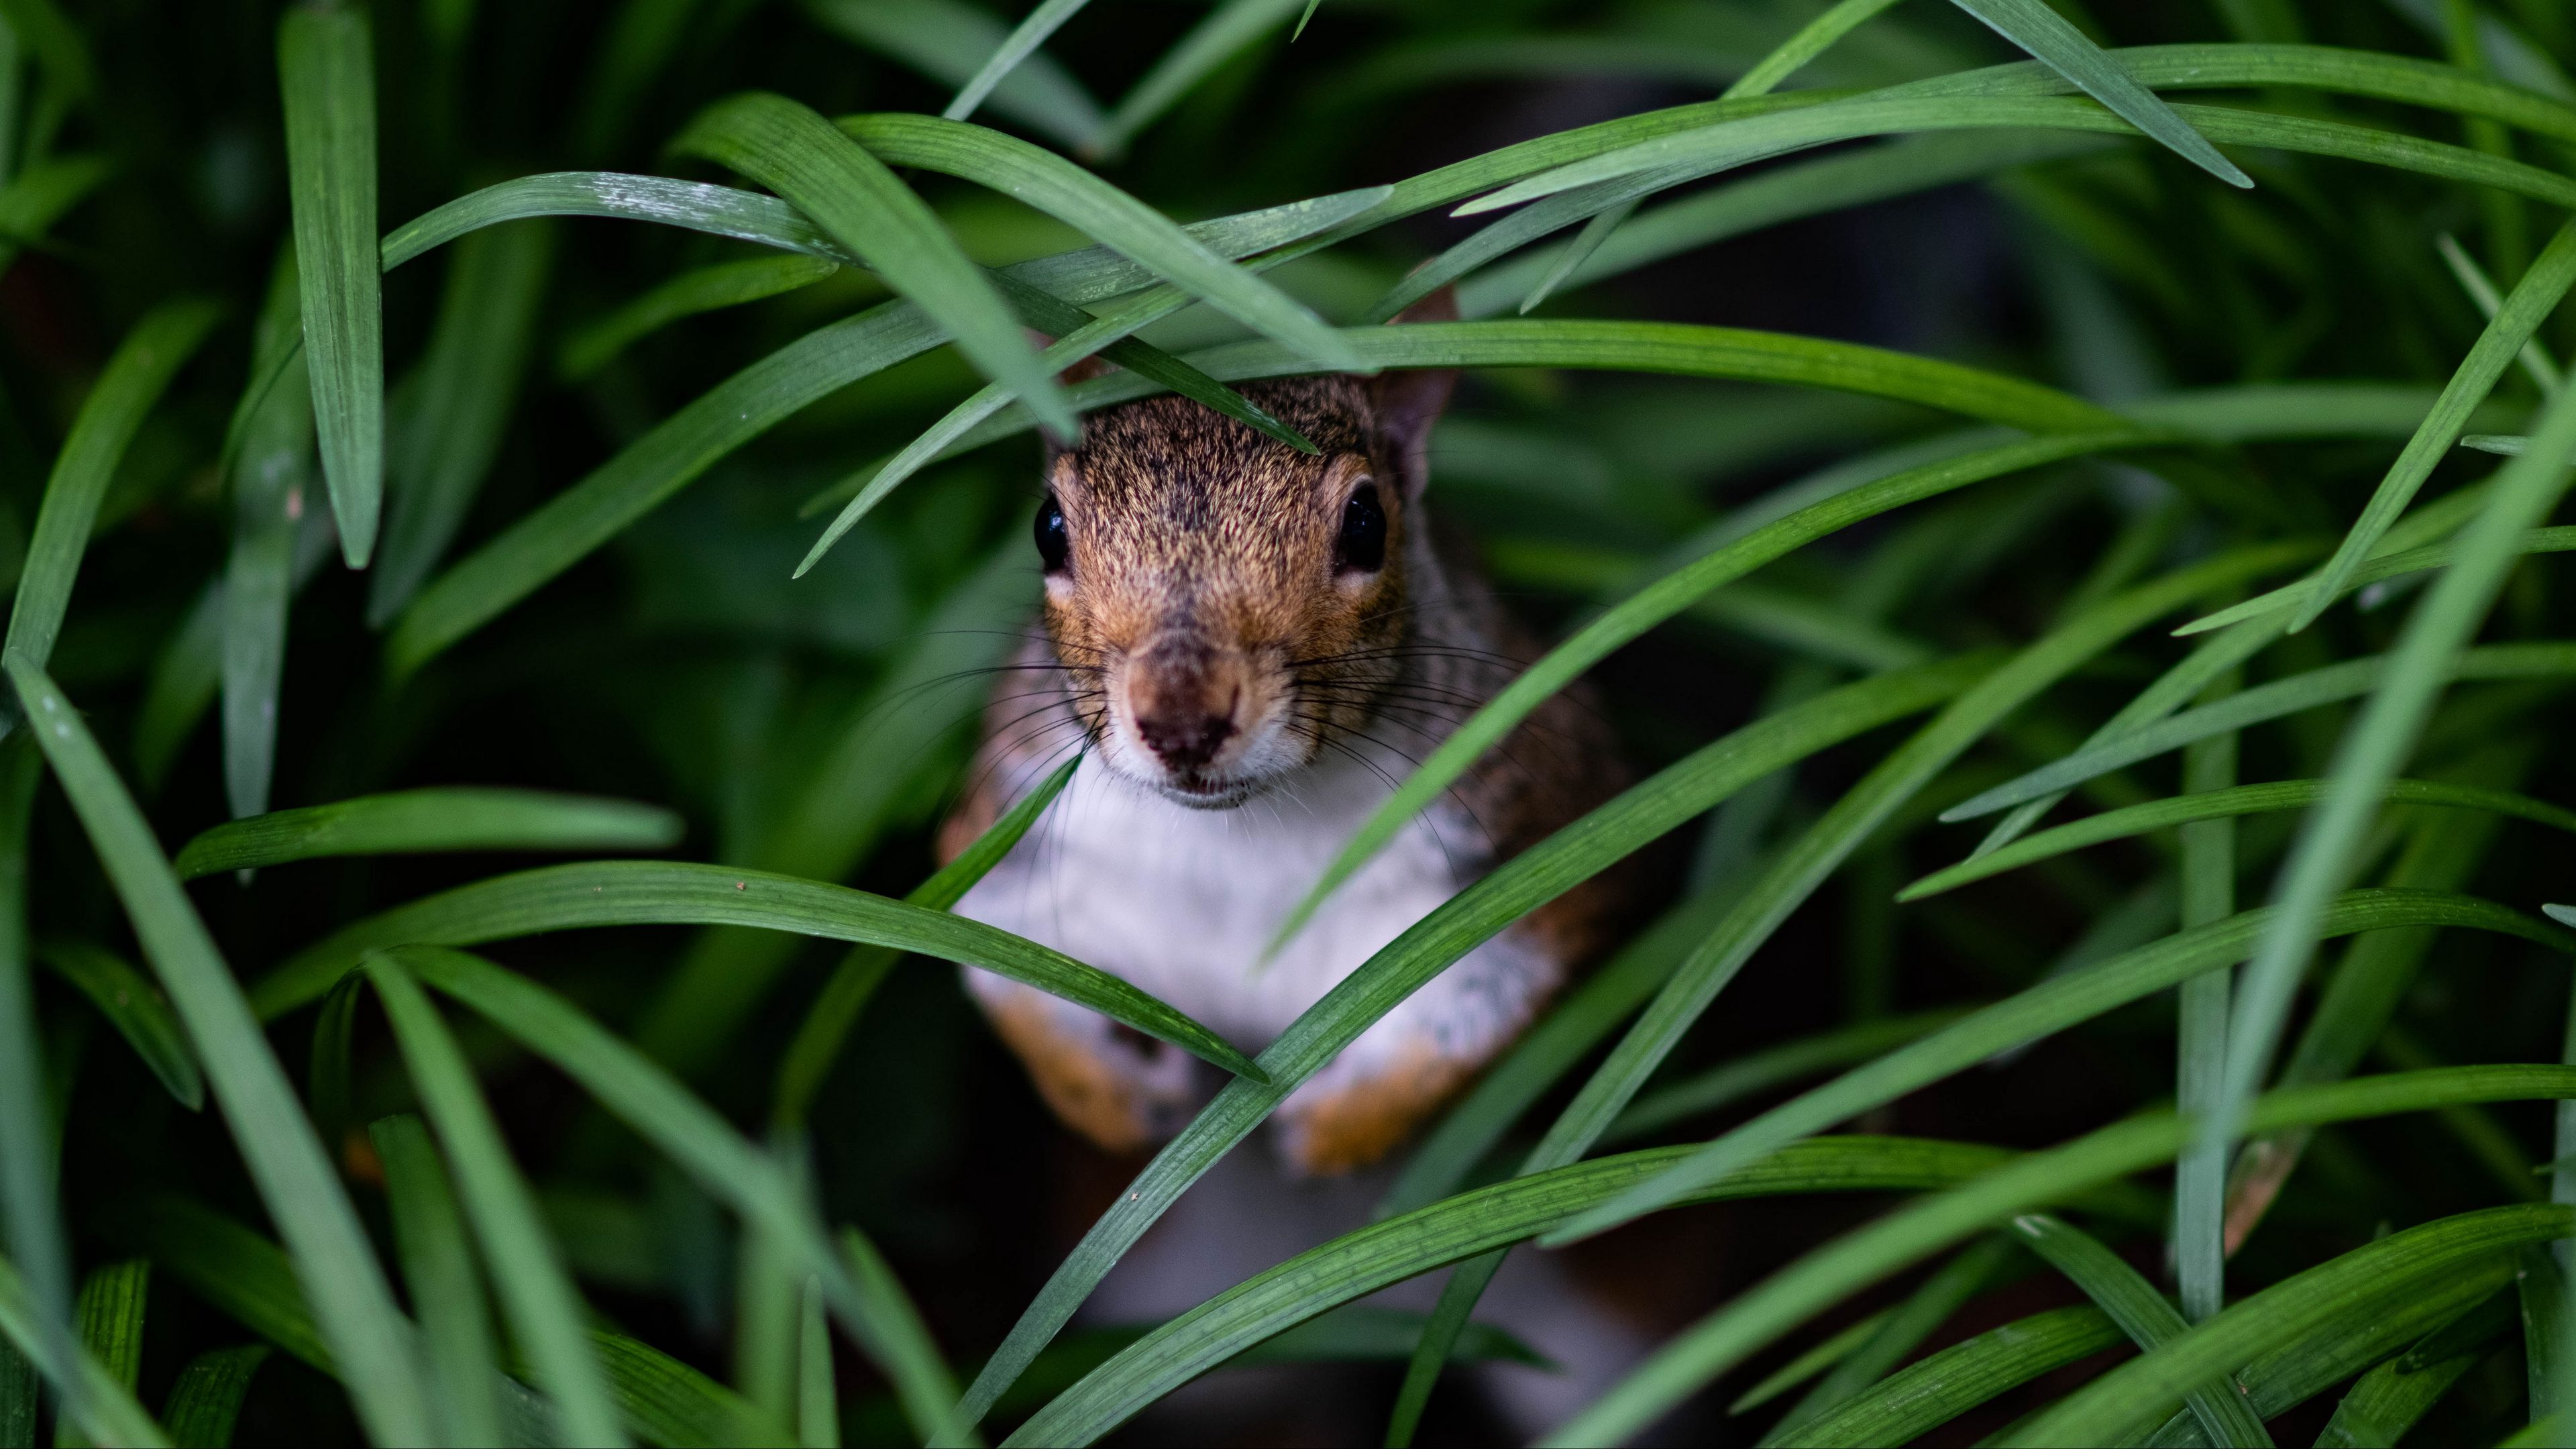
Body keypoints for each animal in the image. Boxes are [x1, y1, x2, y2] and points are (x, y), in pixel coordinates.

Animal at [939, 290, 1633, 1176]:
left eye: (1367, 522)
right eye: (1048, 527)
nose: (1183, 721)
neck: (1240, 840)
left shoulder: (1541, 839)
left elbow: (1474, 1026)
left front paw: (1334, 1127)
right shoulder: (1009, 843)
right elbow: (1006, 982)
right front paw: (1112, 1099)